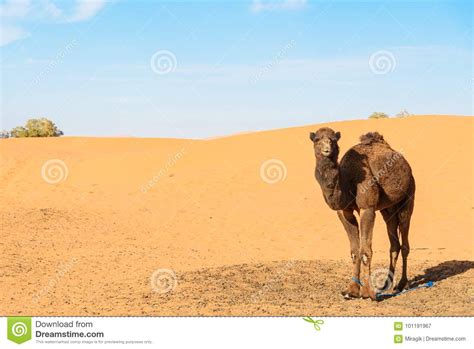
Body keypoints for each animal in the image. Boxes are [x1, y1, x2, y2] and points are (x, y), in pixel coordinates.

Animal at [310, 128, 412, 300]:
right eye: (316, 139)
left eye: (333, 140)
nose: (326, 150)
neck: (346, 181)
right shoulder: (344, 211)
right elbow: (354, 251)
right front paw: (351, 290)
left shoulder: (367, 208)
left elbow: (365, 251)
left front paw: (368, 293)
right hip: (388, 209)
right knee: (394, 243)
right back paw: (386, 283)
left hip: (408, 198)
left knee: (404, 243)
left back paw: (401, 284)